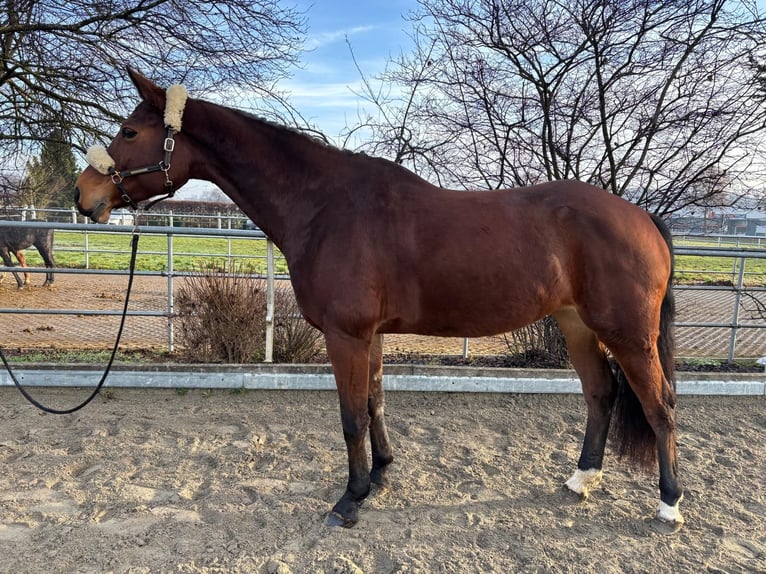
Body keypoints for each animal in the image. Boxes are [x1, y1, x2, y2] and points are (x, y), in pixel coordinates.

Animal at [74, 69, 684, 529]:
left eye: (128, 132)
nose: (84, 196)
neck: (326, 206)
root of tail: (642, 218)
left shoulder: (346, 335)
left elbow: (350, 417)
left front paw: (349, 500)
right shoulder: (370, 336)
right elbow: (374, 404)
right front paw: (381, 474)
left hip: (628, 334)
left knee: (659, 406)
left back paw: (669, 506)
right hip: (577, 325)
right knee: (601, 394)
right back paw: (582, 479)